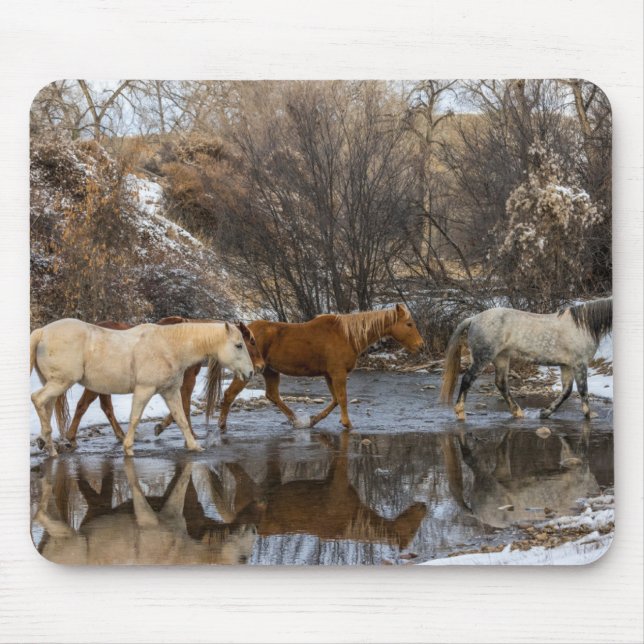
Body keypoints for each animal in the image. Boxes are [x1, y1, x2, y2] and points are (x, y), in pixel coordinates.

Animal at [30, 319, 254, 456]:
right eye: (239, 345)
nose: (251, 372)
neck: (169, 346)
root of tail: (42, 332)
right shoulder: (144, 390)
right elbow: (135, 418)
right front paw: (128, 448)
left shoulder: (170, 392)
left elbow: (181, 418)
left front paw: (194, 446)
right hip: (61, 382)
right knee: (37, 399)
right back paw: (51, 445)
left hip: (55, 384)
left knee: (46, 406)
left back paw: (48, 445)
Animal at [217, 303, 424, 431]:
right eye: (409, 324)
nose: (421, 345)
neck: (347, 335)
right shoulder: (338, 373)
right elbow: (342, 398)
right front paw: (348, 424)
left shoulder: (329, 374)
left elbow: (335, 400)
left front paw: (314, 420)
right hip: (248, 372)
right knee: (229, 395)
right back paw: (222, 425)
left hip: (270, 371)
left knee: (273, 396)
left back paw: (296, 420)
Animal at [440, 297, 612, 420]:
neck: (583, 326)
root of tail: (473, 319)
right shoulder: (579, 364)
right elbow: (583, 391)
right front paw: (588, 416)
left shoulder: (566, 365)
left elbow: (566, 391)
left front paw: (545, 413)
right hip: (483, 358)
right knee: (467, 380)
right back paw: (460, 412)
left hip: (501, 358)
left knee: (501, 384)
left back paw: (518, 413)